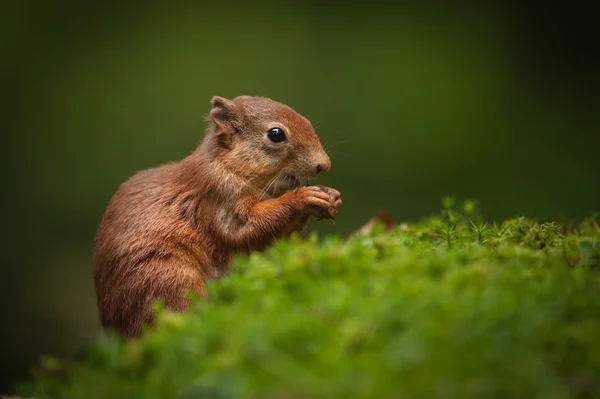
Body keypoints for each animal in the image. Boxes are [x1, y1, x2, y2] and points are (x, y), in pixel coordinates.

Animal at [91, 97, 340, 338]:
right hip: (165, 278)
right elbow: (244, 232)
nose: (324, 164)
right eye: (276, 134)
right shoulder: (216, 197)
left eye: (306, 120)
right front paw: (302, 197)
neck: (228, 165)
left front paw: (331, 196)